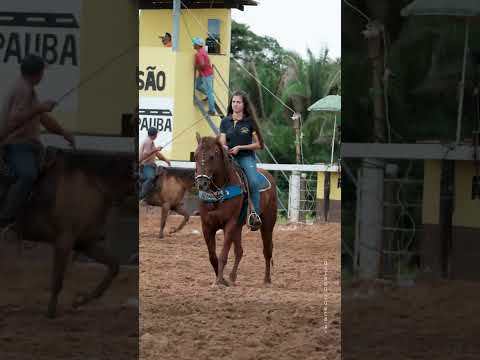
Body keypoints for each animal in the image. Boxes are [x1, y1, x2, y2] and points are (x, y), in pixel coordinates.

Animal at [1, 146, 137, 318]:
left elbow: (113, 266)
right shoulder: (64, 241)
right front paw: (51, 312)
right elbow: (58, 279)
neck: (91, 185)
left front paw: (81, 301)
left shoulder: (84, 243)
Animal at [194, 134, 278, 286]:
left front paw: (219, 281)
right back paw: (232, 277)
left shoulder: (229, 224)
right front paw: (222, 280)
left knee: (267, 250)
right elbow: (212, 256)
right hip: (238, 227)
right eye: (195, 156)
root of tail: (268, 175)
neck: (218, 193)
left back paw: (267, 279)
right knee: (239, 251)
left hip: (268, 223)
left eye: (212, 156)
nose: (201, 183)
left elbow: (223, 254)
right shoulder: (207, 226)